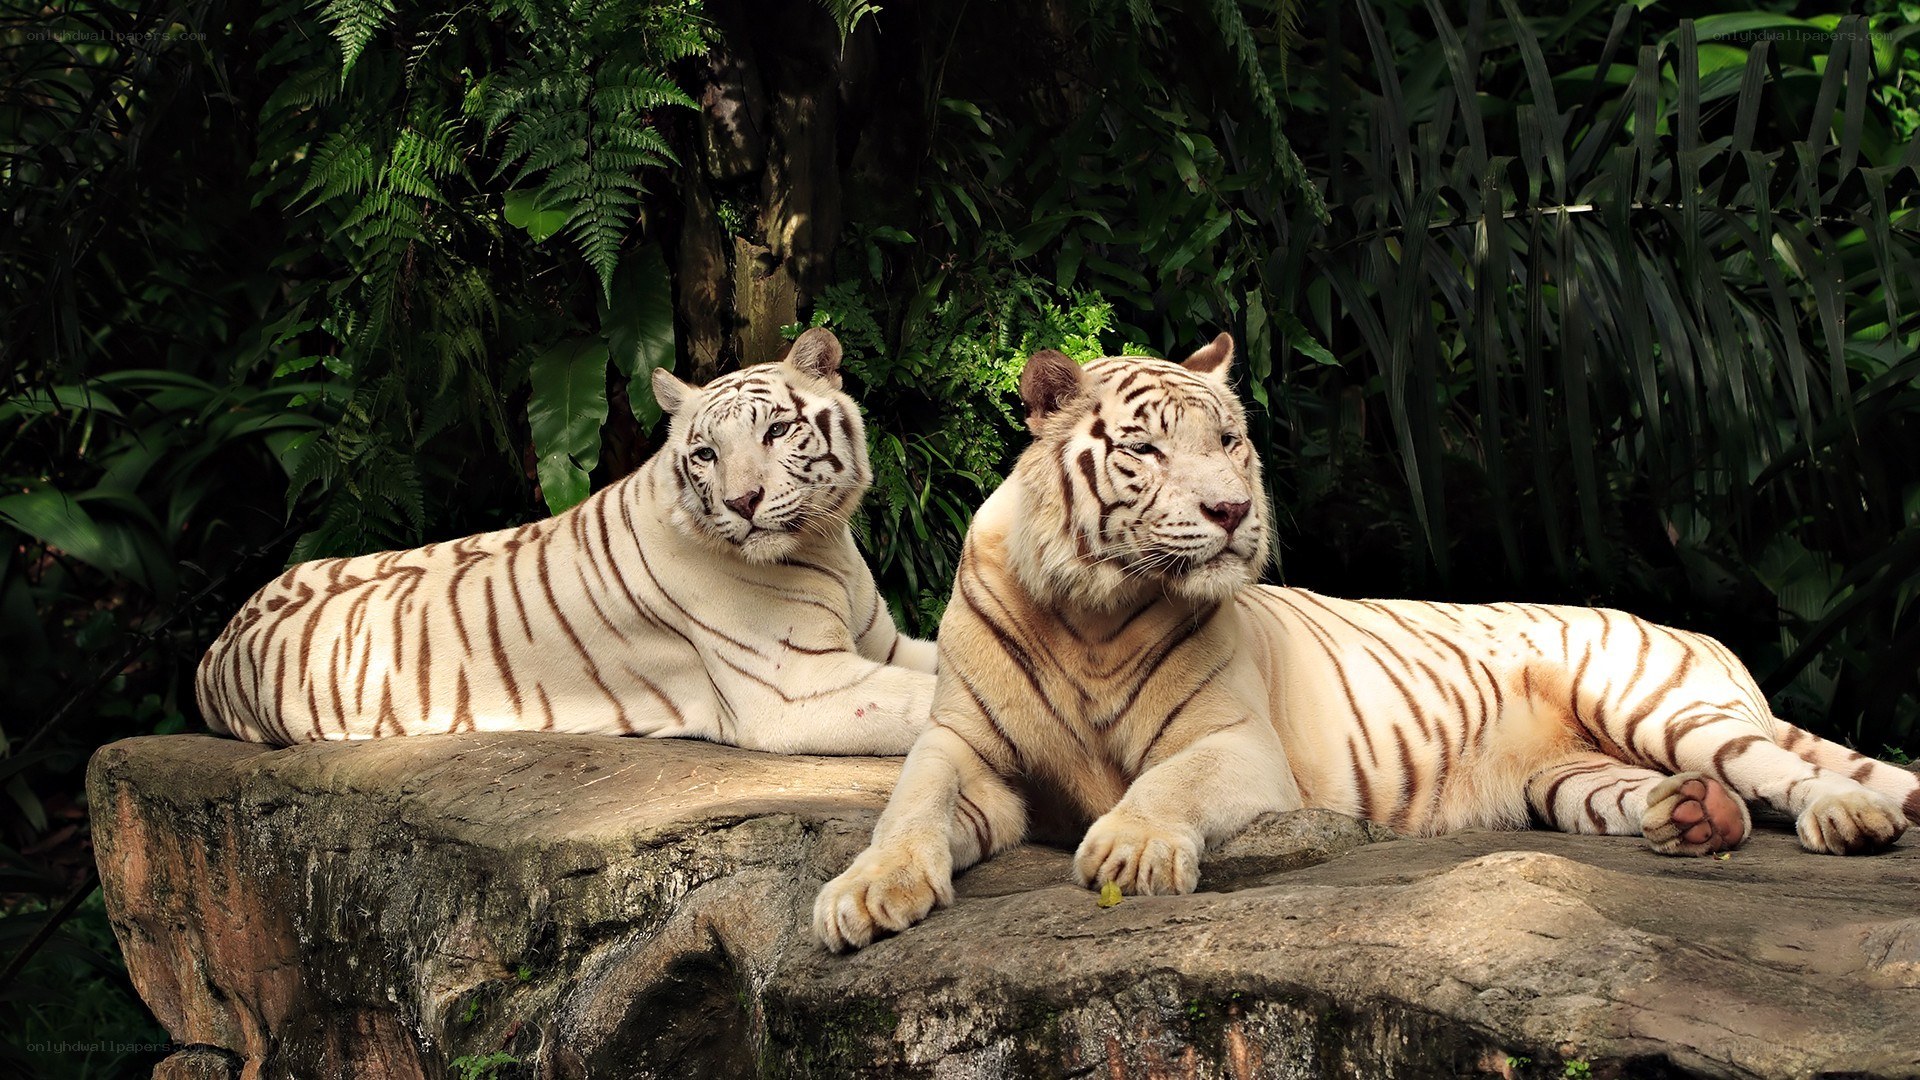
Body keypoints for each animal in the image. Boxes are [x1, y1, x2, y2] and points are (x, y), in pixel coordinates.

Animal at [197, 328, 940, 755]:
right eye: (705, 453)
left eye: (777, 432)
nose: (741, 503)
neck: (824, 543)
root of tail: (214, 649)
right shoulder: (797, 687)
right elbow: (929, 701)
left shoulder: (882, 645)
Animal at [814, 335, 1919, 951]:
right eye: (1145, 449)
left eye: (1229, 441)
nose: (1231, 511)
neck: (1089, 607)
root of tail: (1694, 631)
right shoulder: (965, 746)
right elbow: (907, 808)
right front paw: (863, 897)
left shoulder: (1230, 742)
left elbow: (1164, 786)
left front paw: (1131, 846)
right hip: (1569, 778)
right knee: (1676, 793)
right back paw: (1695, 819)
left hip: (1656, 702)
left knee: (1786, 767)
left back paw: (1848, 819)